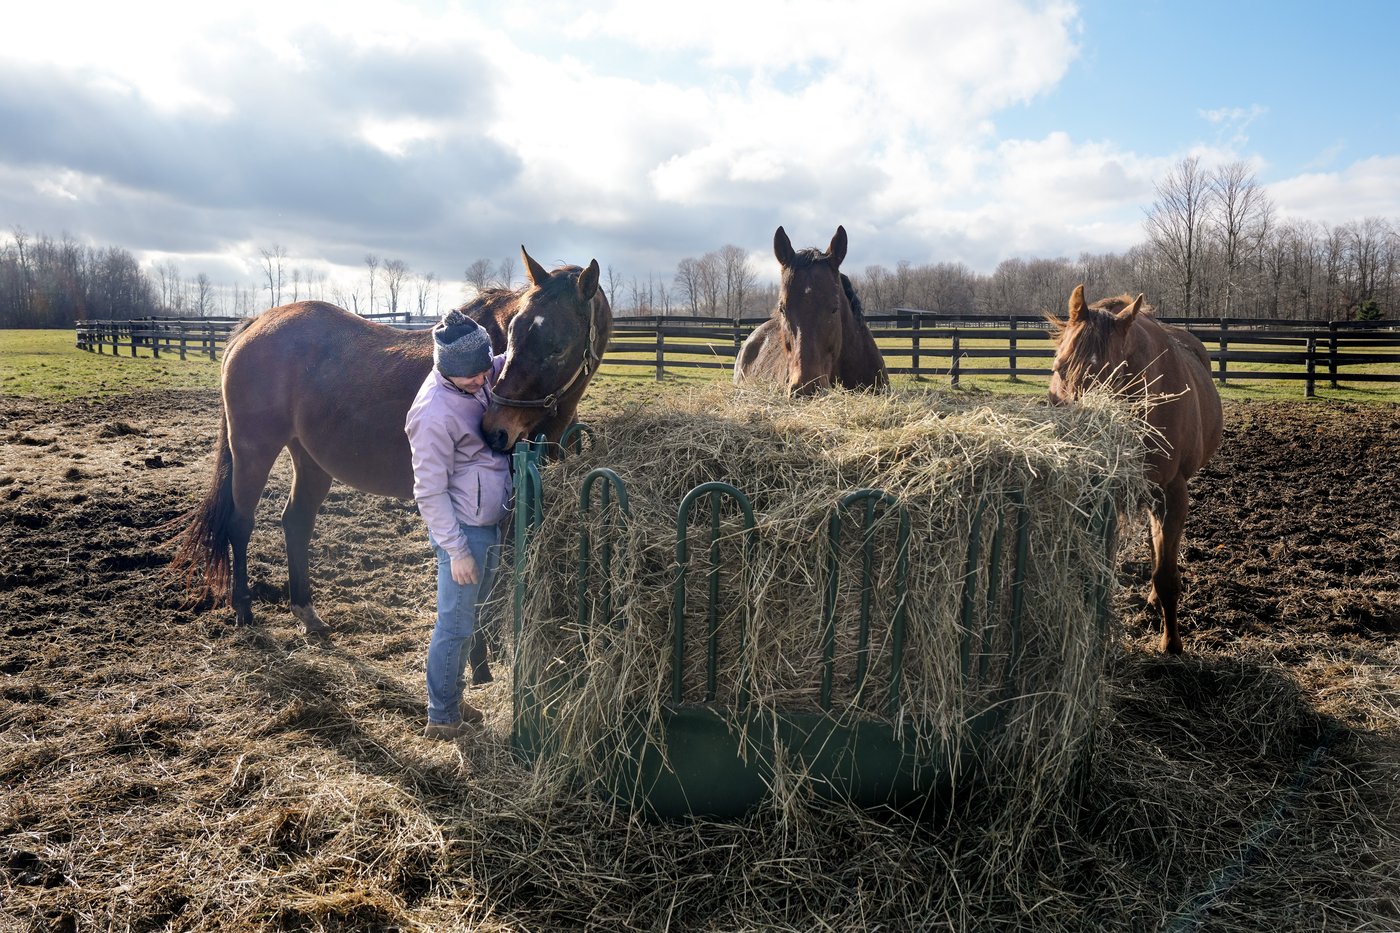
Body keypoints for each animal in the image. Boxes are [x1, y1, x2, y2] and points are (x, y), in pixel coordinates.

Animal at [170, 247, 612, 638]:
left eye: (557, 347)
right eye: (516, 332)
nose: (495, 430)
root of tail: (257, 322)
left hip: (309, 459)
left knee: (296, 522)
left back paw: (306, 612)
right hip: (253, 450)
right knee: (240, 523)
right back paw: (244, 610)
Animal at [1048, 285, 1223, 654]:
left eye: (1116, 375)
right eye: (1058, 367)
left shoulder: (1172, 494)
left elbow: (1167, 575)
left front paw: (1171, 644)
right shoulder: (1103, 497)